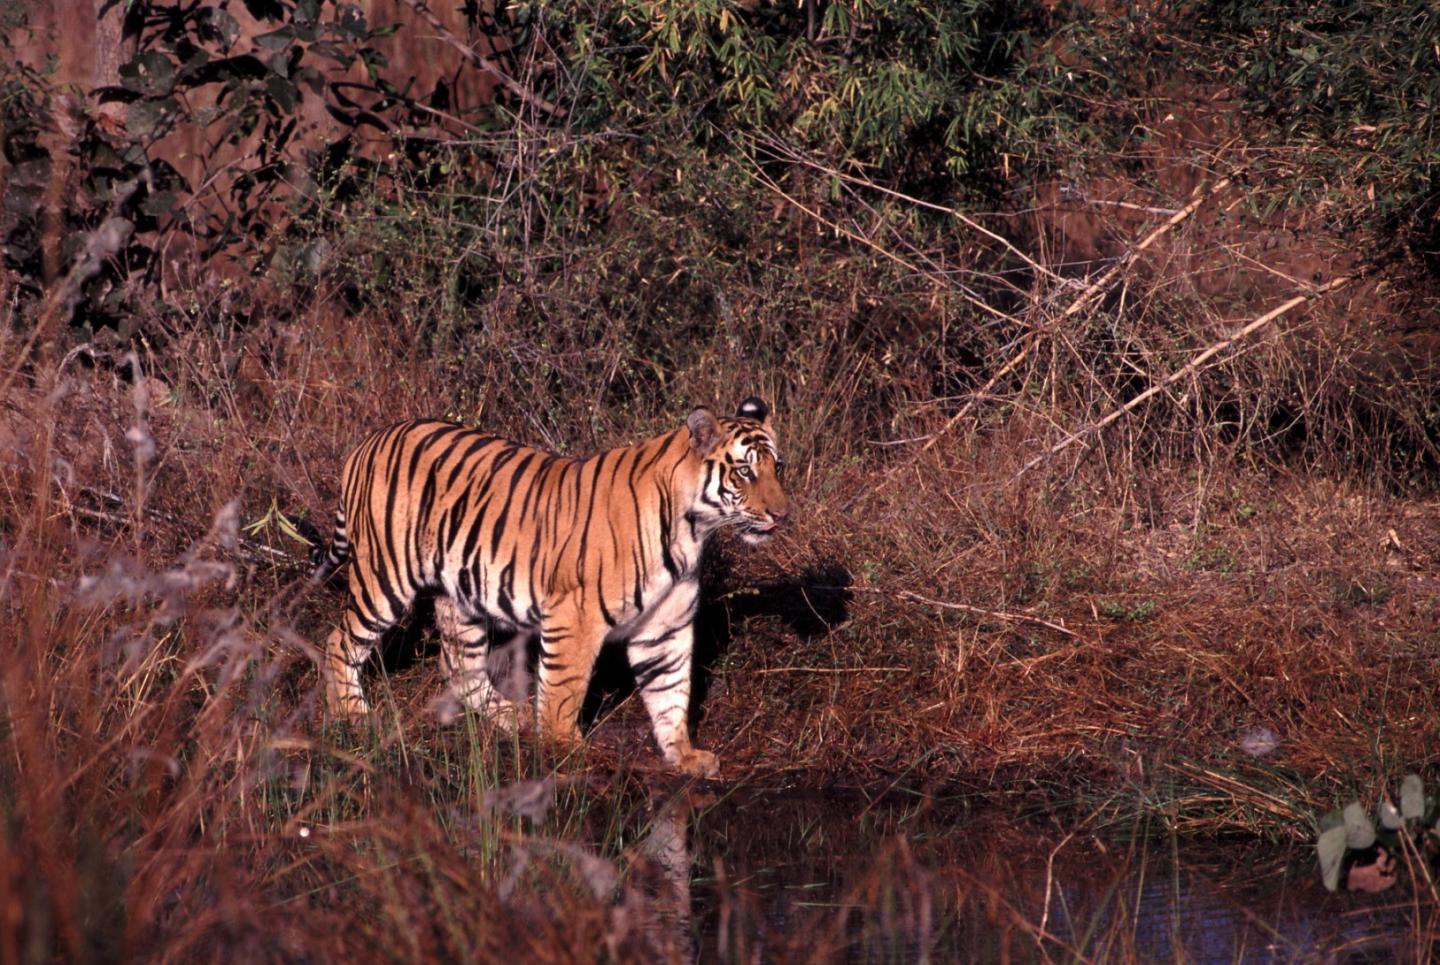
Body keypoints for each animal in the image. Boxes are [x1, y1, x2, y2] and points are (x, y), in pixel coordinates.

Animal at [309, 397, 794, 777]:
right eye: (745, 473)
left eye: (778, 467)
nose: (782, 515)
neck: (692, 530)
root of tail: (369, 441)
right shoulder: (574, 617)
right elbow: (565, 690)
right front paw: (565, 749)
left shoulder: (665, 627)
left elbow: (671, 691)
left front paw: (685, 755)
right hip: (384, 578)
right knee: (338, 641)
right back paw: (353, 716)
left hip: (461, 594)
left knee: (460, 667)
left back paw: (515, 717)